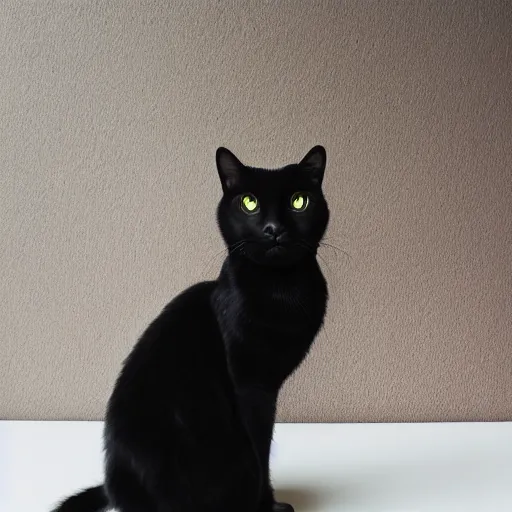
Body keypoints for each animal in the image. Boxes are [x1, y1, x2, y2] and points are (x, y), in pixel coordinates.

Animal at [52, 145, 330, 512]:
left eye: (300, 201)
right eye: (249, 202)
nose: (273, 228)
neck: (280, 289)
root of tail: (116, 489)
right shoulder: (252, 386)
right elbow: (261, 451)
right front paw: (266, 505)